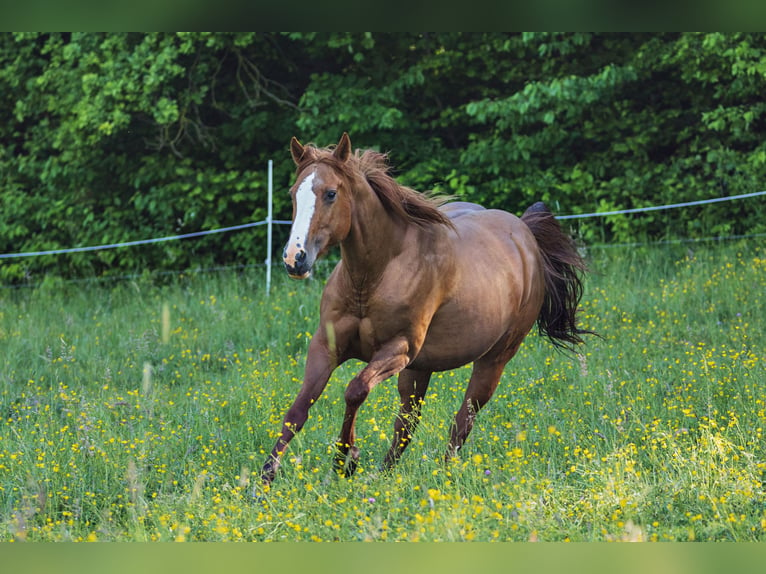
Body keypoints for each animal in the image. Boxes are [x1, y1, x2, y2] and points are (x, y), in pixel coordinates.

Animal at [260, 132, 592, 486]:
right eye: (293, 194)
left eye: (331, 194)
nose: (295, 258)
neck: (374, 276)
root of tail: (525, 233)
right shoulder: (326, 345)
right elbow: (298, 409)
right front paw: (266, 476)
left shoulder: (398, 350)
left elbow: (354, 390)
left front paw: (344, 461)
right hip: (420, 368)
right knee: (407, 422)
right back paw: (382, 476)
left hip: (492, 360)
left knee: (461, 422)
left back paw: (443, 475)